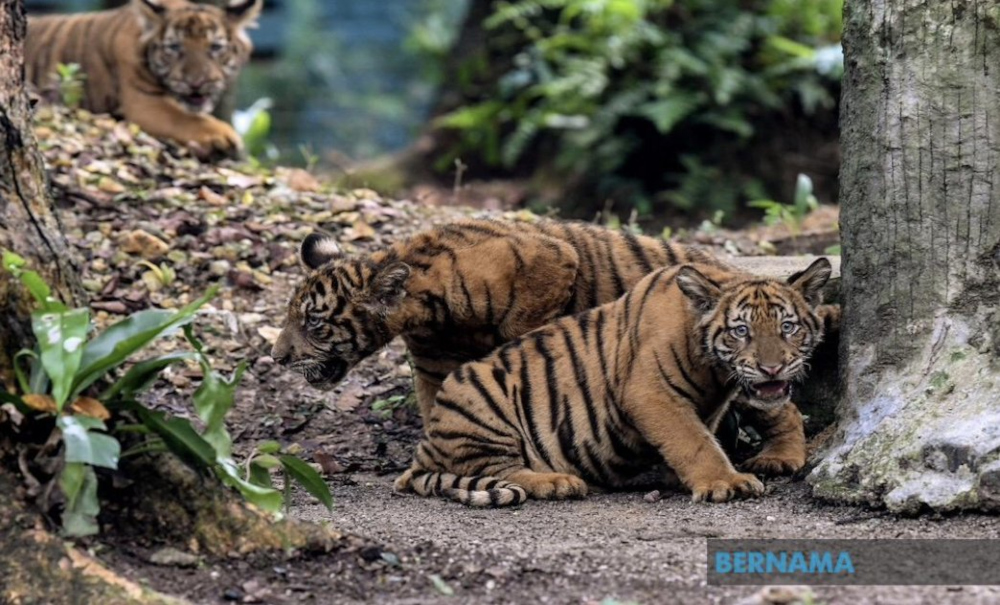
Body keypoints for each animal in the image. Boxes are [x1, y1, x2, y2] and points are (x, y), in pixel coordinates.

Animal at [25, 0, 261, 158]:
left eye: (215, 47)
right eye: (175, 47)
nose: (196, 83)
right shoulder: (144, 102)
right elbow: (187, 118)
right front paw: (228, 137)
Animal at [271, 218, 729, 423]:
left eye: (314, 324)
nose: (277, 358)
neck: (427, 315)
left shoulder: (552, 261)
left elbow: (521, 339)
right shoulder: (433, 363)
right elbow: (437, 405)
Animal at [393, 257, 833, 506]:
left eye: (788, 327)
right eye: (741, 331)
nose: (772, 369)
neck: (715, 371)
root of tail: (423, 451)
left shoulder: (709, 402)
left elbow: (700, 434)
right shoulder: (650, 393)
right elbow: (694, 441)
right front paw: (724, 482)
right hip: (478, 398)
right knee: (503, 468)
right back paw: (558, 482)